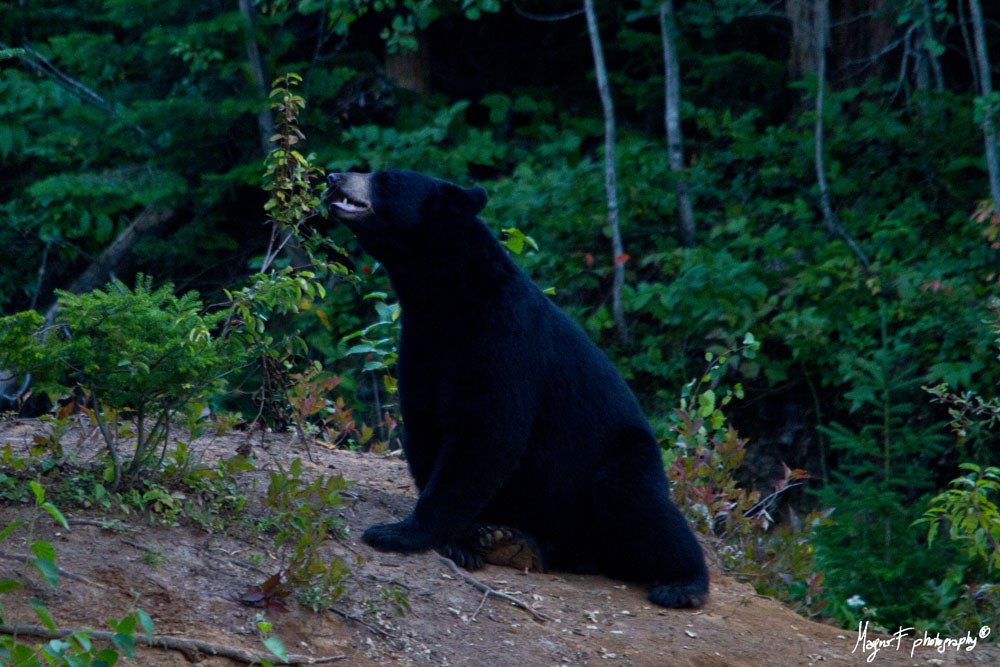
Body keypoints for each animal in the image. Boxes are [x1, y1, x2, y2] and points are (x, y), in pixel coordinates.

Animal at [325, 169, 708, 608]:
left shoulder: (504, 339)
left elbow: (487, 434)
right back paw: (513, 540)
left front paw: (398, 532)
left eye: (385, 179)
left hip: (625, 453)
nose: (334, 176)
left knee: (634, 498)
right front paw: (461, 541)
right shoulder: (422, 344)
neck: (446, 296)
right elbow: (424, 425)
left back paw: (683, 582)